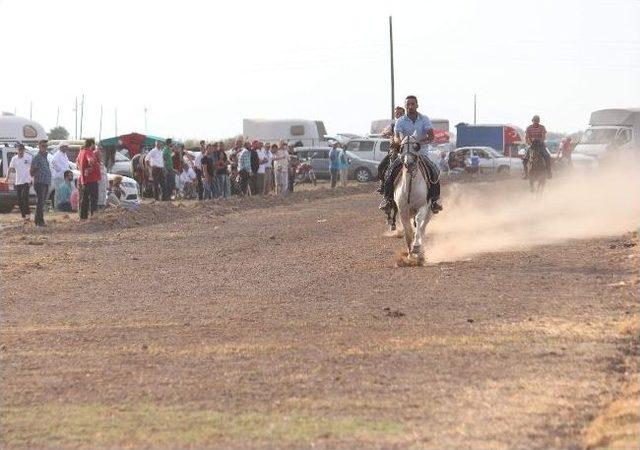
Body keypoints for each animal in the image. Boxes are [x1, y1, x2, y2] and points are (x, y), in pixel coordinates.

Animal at [396, 135, 436, 266]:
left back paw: (421, 253)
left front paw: (417, 248)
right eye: (401, 147)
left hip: (429, 212)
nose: (408, 163)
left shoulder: (423, 207)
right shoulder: (402, 211)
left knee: (422, 228)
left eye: (416, 146)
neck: (411, 187)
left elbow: (418, 223)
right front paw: (410, 256)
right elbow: (408, 231)